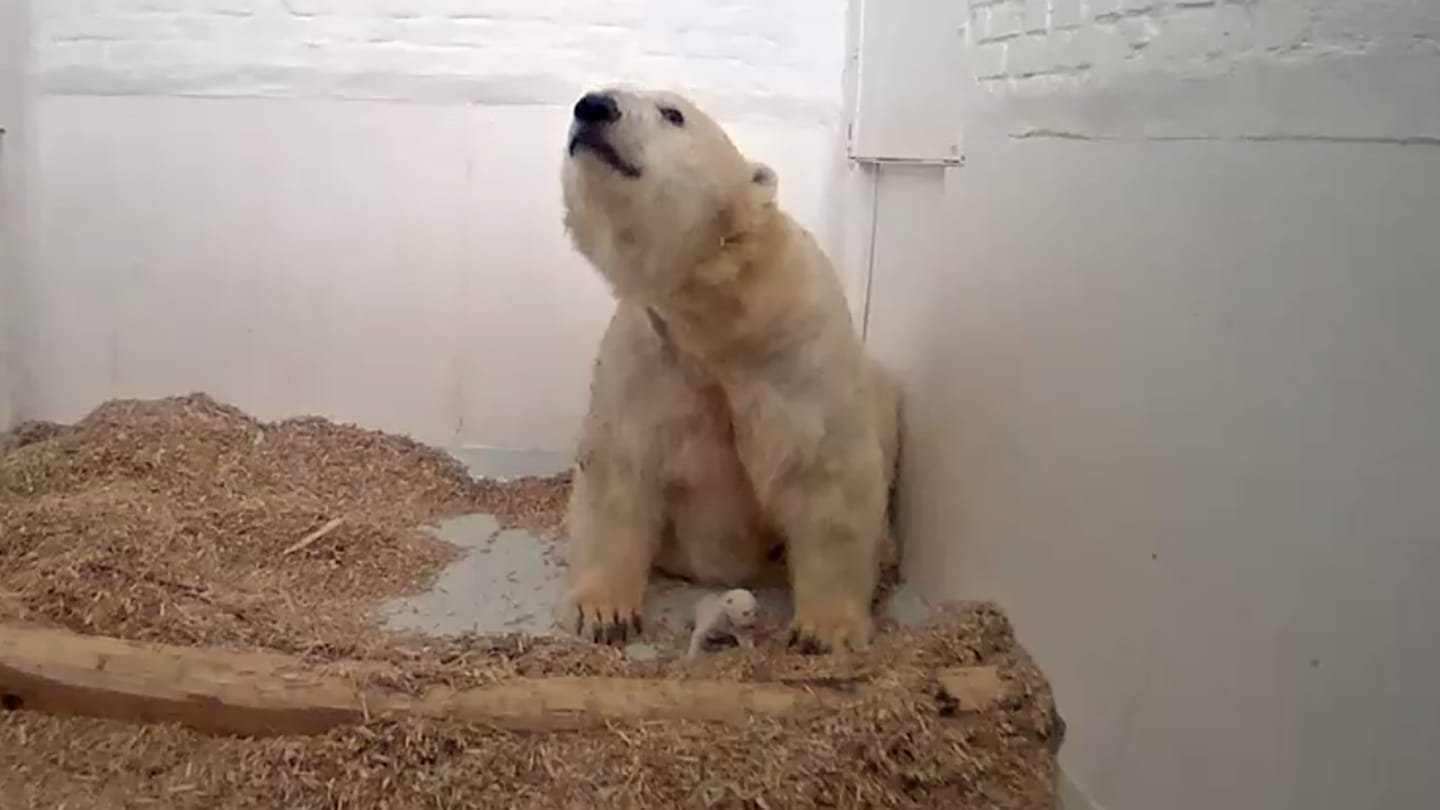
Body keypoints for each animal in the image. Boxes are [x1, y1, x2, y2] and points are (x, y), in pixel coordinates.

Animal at [552, 85, 898, 651]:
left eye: (673, 113)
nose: (593, 106)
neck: (718, 323)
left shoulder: (796, 349)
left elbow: (830, 474)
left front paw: (825, 628)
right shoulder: (652, 352)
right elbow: (619, 466)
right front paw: (603, 611)